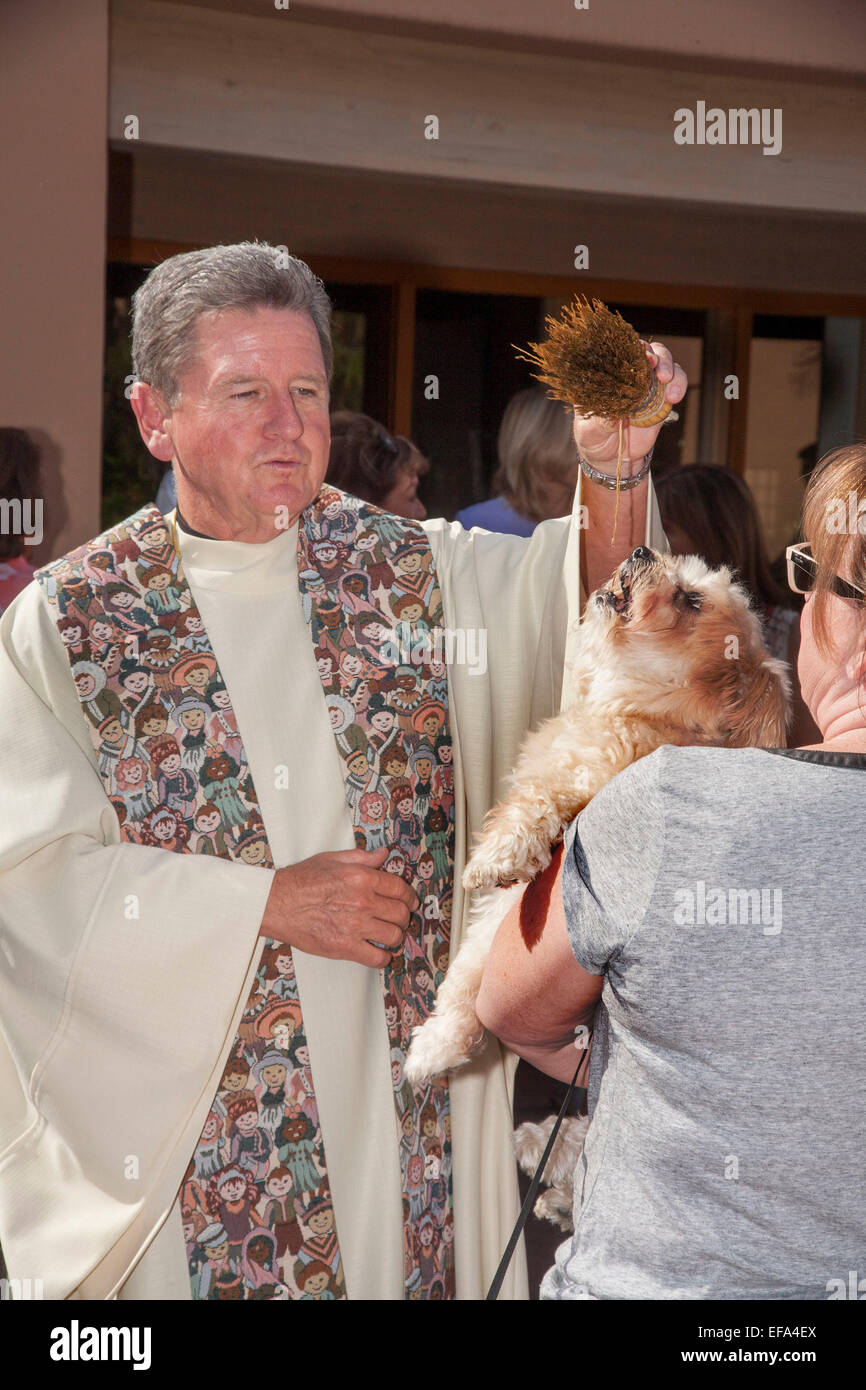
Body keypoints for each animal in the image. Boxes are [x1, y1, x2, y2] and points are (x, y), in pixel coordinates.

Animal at [405, 542, 795, 1217]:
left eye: (691, 600)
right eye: (682, 572)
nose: (639, 549)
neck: (630, 710)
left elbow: (533, 810)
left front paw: (494, 856)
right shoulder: (503, 916)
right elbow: (463, 985)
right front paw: (437, 1047)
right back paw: (548, 1173)